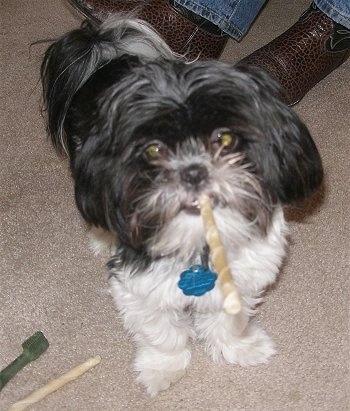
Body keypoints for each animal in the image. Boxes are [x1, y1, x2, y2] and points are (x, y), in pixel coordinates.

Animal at [40, 16, 322, 396]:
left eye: (225, 138)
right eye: (154, 149)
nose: (193, 171)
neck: (199, 236)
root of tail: (106, 55)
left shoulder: (245, 271)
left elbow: (228, 319)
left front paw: (241, 348)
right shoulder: (138, 285)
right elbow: (162, 334)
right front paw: (161, 370)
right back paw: (101, 238)